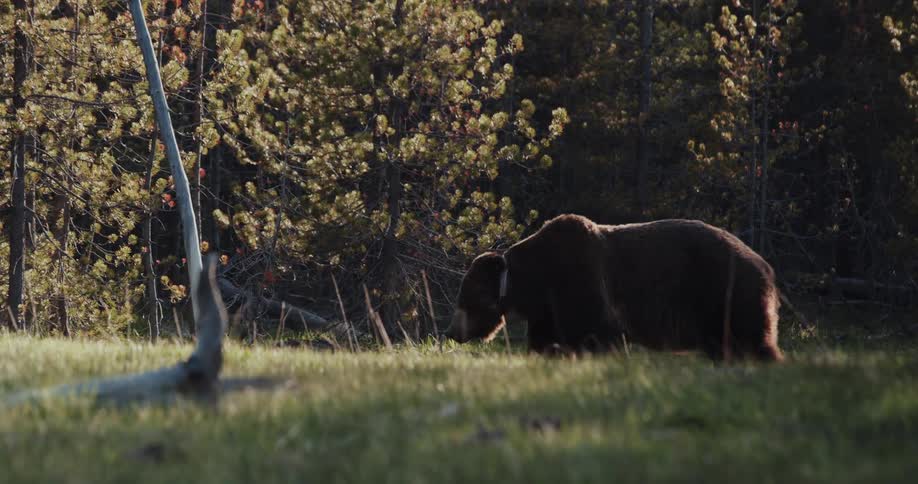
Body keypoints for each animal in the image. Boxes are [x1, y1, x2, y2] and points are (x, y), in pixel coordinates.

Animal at [444, 213, 784, 362]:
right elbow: (547, 339)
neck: (536, 280)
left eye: (464, 298)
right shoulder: (548, 308)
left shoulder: (579, 278)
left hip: (724, 291)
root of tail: (766, 265)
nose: (451, 332)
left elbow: (596, 331)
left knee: (751, 338)